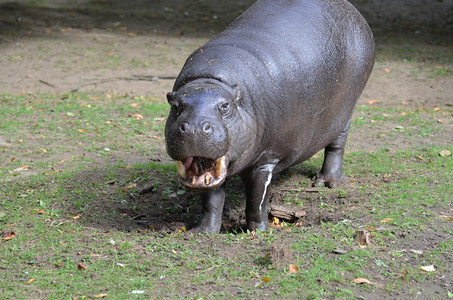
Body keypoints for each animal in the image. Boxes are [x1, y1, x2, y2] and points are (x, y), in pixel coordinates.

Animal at [164, 0, 372, 233]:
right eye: (176, 106)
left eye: (225, 106)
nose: (194, 127)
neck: (209, 81)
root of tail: (353, 10)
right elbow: (212, 200)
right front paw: (203, 232)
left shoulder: (265, 159)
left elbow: (257, 200)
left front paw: (258, 231)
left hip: (346, 112)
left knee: (337, 146)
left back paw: (327, 182)